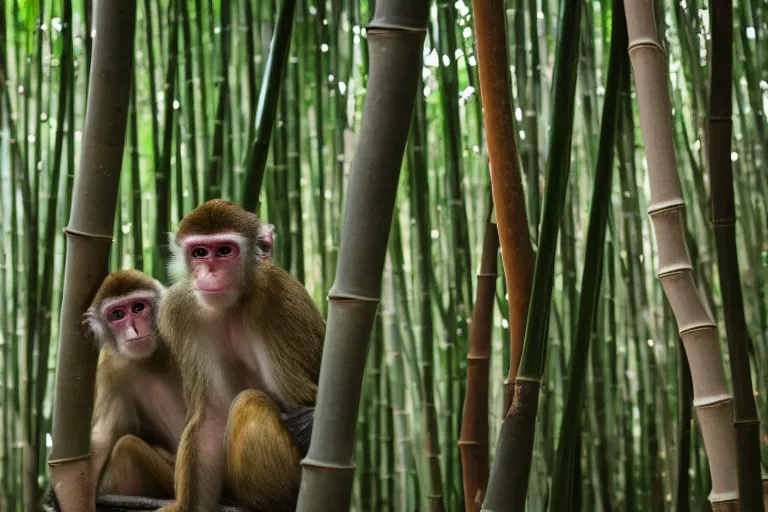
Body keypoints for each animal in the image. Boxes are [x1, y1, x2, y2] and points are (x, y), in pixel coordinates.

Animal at [83, 268, 186, 500]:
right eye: (117, 315)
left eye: (138, 308)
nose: (134, 330)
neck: (152, 358)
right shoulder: (110, 365)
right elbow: (102, 436)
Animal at [156, 199, 324, 512]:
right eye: (200, 252)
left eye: (224, 250)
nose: (210, 272)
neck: (234, 304)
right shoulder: (182, 309)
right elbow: (212, 416)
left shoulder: (277, 299)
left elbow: (308, 400)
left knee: (250, 403)